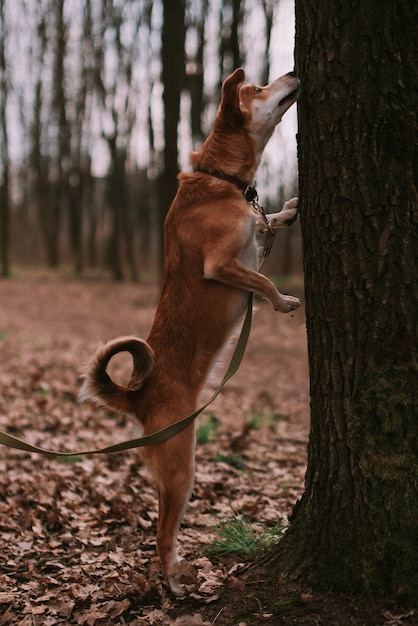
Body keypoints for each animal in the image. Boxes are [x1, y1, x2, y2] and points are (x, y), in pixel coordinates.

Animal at [79, 68, 300, 596]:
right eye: (258, 88)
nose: (292, 72)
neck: (220, 179)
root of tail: (139, 397)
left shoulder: (252, 236)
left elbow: (268, 222)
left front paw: (289, 208)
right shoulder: (223, 264)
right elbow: (263, 280)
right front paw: (283, 301)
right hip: (183, 468)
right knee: (161, 536)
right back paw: (176, 585)